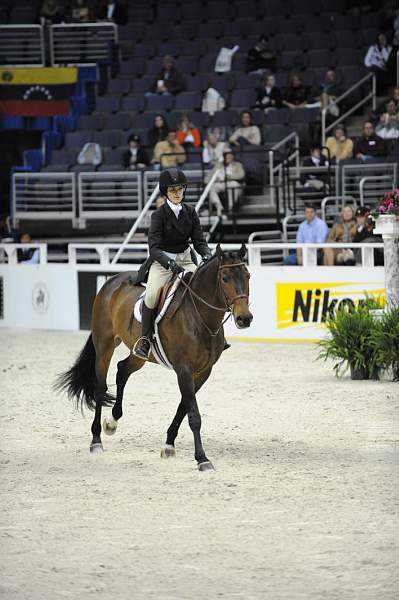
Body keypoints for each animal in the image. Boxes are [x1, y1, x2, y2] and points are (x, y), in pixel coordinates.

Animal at [55, 243, 253, 468]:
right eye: (225, 278)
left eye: (248, 276)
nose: (245, 318)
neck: (200, 317)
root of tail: (111, 283)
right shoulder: (184, 370)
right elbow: (193, 415)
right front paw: (202, 459)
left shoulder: (203, 372)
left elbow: (183, 408)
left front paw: (168, 445)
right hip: (104, 347)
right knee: (100, 388)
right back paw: (96, 440)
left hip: (139, 355)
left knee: (122, 370)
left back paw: (112, 421)